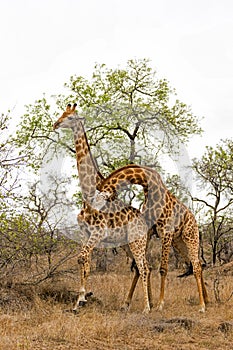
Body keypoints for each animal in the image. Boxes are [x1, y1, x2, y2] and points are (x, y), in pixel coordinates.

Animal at [52, 102, 152, 314]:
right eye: (62, 113)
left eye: (70, 117)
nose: (56, 124)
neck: (88, 195)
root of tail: (145, 221)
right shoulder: (84, 232)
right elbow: (84, 261)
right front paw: (79, 301)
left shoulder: (98, 232)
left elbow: (82, 258)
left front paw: (82, 299)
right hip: (126, 244)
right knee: (140, 268)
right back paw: (129, 304)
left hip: (137, 241)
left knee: (144, 267)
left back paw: (147, 308)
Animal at [95, 165, 208, 314]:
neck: (149, 188)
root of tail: (194, 220)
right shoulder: (148, 231)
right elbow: (141, 267)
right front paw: (130, 304)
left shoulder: (166, 232)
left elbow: (163, 269)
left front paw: (160, 304)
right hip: (179, 243)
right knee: (198, 264)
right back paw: (207, 299)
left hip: (191, 237)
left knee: (196, 266)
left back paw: (202, 306)